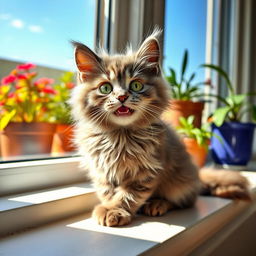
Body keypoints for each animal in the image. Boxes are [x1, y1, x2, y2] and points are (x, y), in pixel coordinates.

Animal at [70, 30, 250, 228]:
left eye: (136, 85)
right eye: (105, 88)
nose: (122, 97)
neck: (121, 136)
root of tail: (198, 177)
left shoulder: (146, 171)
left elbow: (127, 195)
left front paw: (113, 210)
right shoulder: (102, 171)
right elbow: (108, 192)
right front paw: (109, 206)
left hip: (179, 184)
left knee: (184, 201)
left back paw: (157, 204)